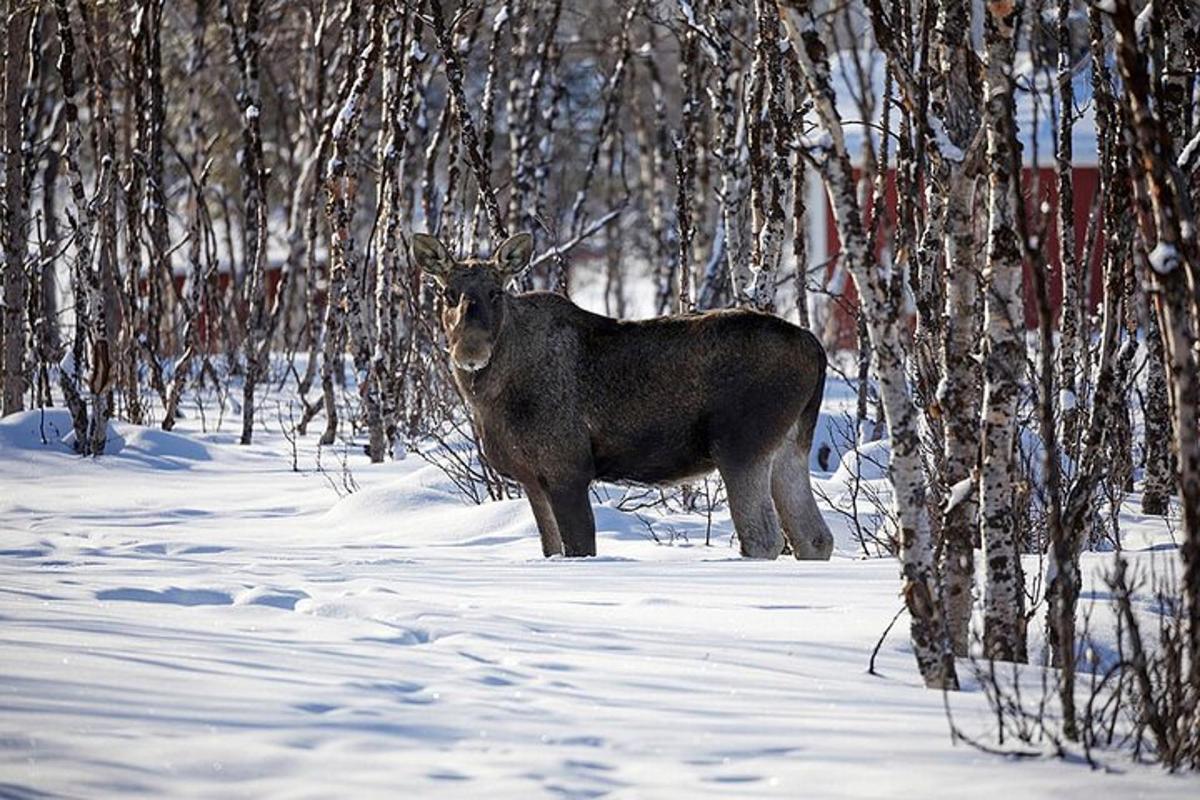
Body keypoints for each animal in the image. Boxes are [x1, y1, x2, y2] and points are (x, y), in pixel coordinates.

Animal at [412, 227, 835, 561]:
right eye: (447, 292)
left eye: (496, 292)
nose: (470, 350)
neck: (489, 400)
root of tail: (816, 347)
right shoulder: (531, 478)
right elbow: (552, 548)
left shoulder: (567, 469)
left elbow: (579, 547)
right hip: (790, 445)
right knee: (814, 537)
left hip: (741, 446)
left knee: (763, 538)